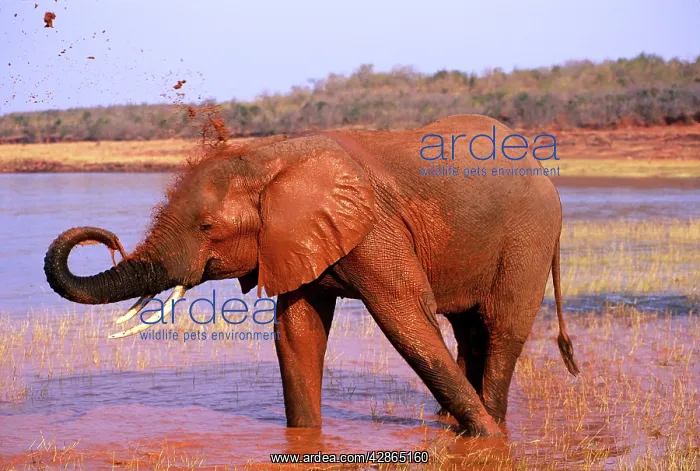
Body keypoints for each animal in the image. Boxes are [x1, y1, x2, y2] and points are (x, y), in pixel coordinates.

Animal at [44, 114, 579, 437]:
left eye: (207, 227)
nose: (107, 239)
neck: (268, 158)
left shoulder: (373, 225)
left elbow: (406, 320)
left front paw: (488, 441)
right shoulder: (295, 239)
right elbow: (297, 333)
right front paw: (304, 441)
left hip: (528, 237)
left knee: (501, 329)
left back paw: (492, 424)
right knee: (469, 329)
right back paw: (453, 421)